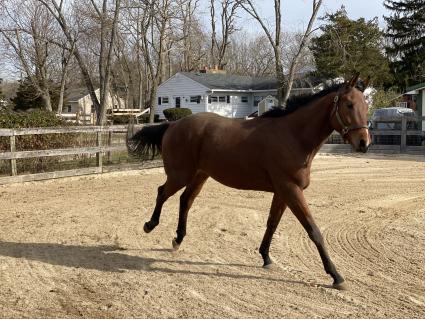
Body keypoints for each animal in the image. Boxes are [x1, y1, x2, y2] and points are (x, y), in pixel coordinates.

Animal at [127, 74, 370, 290]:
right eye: (349, 105)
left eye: (366, 106)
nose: (363, 142)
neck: (293, 136)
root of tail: (173, 125)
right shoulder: (291, 190)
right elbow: (313, 231)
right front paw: (336, 276)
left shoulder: (282, 192)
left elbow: (272, 224)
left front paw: (266, 257)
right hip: (180, 175)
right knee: (162, 192)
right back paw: (150, 225)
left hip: (200, 175)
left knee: (185, 200)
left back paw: (178, 239)